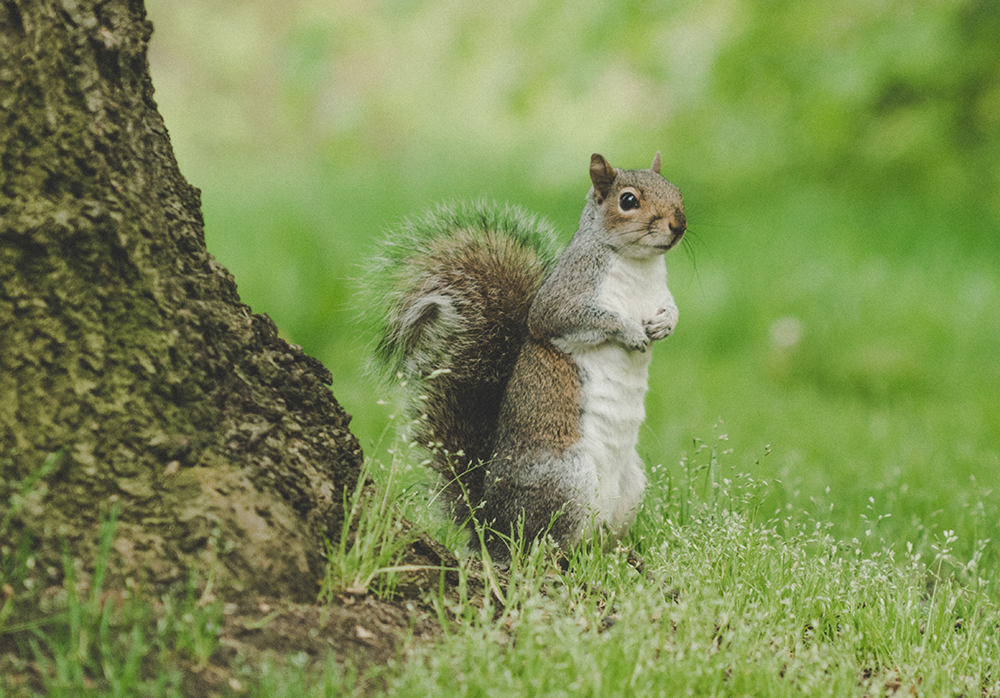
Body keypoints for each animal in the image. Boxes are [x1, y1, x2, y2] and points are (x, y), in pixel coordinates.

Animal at [368, 152, 688, 560]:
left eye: (676, 190)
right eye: (628, 200)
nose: (679, 225)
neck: (638, 265)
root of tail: (488, 525)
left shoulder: (660, 295)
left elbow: (672, 310)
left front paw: (665, 326)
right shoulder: (563, 300)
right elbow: (583, 319)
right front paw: (630, 332)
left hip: (629, 488)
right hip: (565, 479)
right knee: (539, 544)